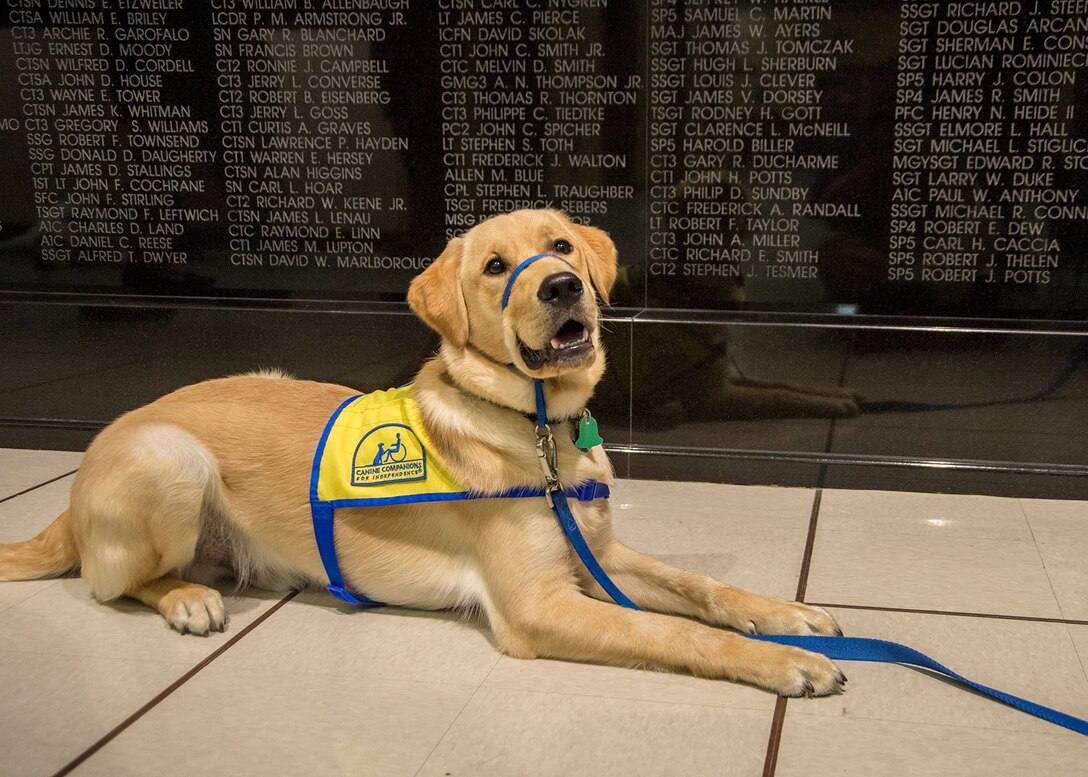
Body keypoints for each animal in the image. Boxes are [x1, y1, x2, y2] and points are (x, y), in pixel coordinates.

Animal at [0, 207, 844, 696]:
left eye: (561, 246)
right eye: (496, 267)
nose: (563, 286)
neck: (542, 433)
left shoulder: (599, 556)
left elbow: (703, 587)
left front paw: (787, 614)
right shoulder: (538, 604)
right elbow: (676, 631)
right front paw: (781, 663)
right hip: (170, 458)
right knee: (115, 581)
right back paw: (185, 598)